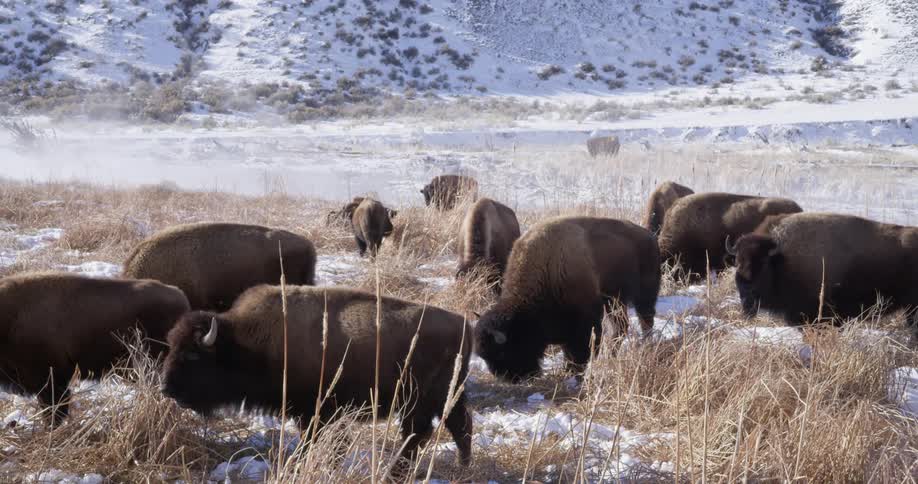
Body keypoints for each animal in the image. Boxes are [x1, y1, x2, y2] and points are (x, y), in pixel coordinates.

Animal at [161, 285, 472, 470]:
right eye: (171, 346)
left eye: (193, 355)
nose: (166, 388)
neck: (245, 342)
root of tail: (464, 325)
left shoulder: (317, 412)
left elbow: (319, 441)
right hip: (437, 400)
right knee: (450, 429)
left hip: (423, 400)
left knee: (430, 432)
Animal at [474, 216, 660, 381]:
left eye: (502, 352)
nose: (506, 378)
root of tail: (649, 236)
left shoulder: (585, 322)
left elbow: (582, 350)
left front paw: (575, 371)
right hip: (614, 301)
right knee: (620, 327)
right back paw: (612, 354)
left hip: (644, 295)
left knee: (645, 320)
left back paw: (646, 345)